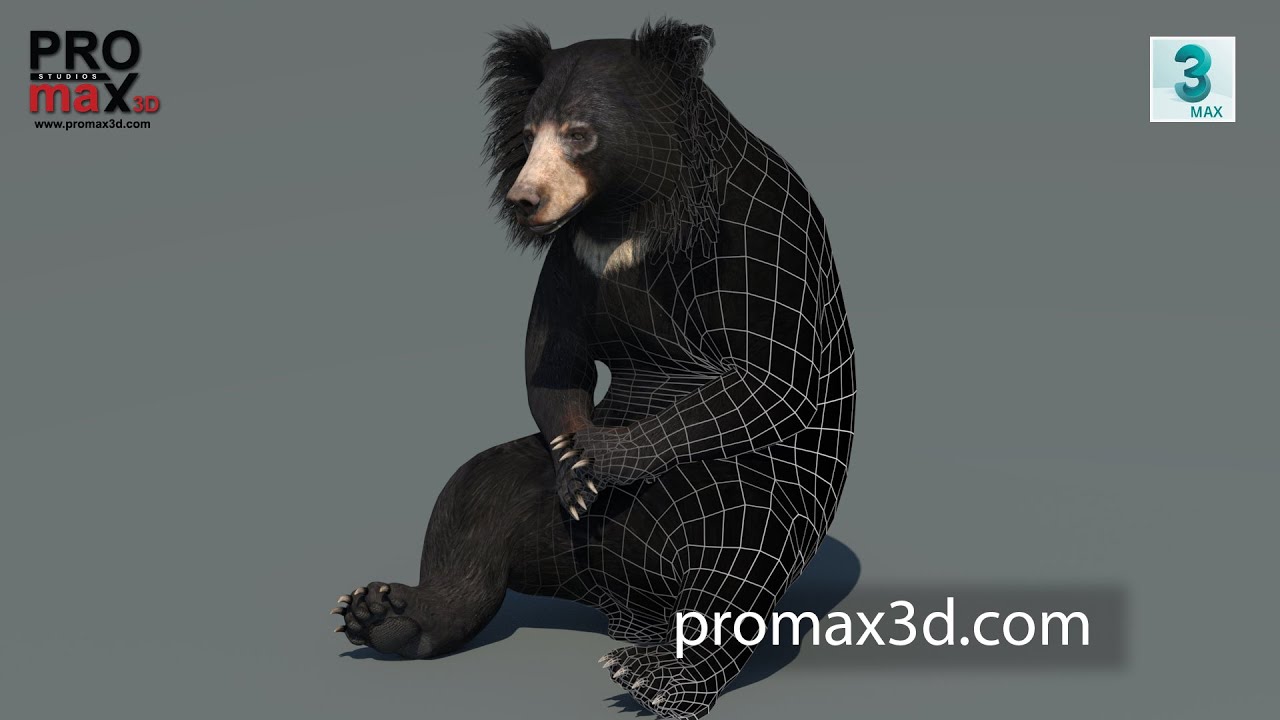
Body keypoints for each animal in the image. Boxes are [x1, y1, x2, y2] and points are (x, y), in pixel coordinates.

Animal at [331, 19, 856, 719]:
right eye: (528, 136)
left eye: (579, 133)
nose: (524, 200)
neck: (632, 208)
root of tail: (621, 595)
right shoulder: (573, 250)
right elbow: (552, 365)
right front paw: (575, 477)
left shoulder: (757, 229)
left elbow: (771, 371)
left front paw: (603, 460)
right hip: (534, 512)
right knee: (472, 503)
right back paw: (383, 613)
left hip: (768, 492)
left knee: (734, 535)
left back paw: (660, 675)